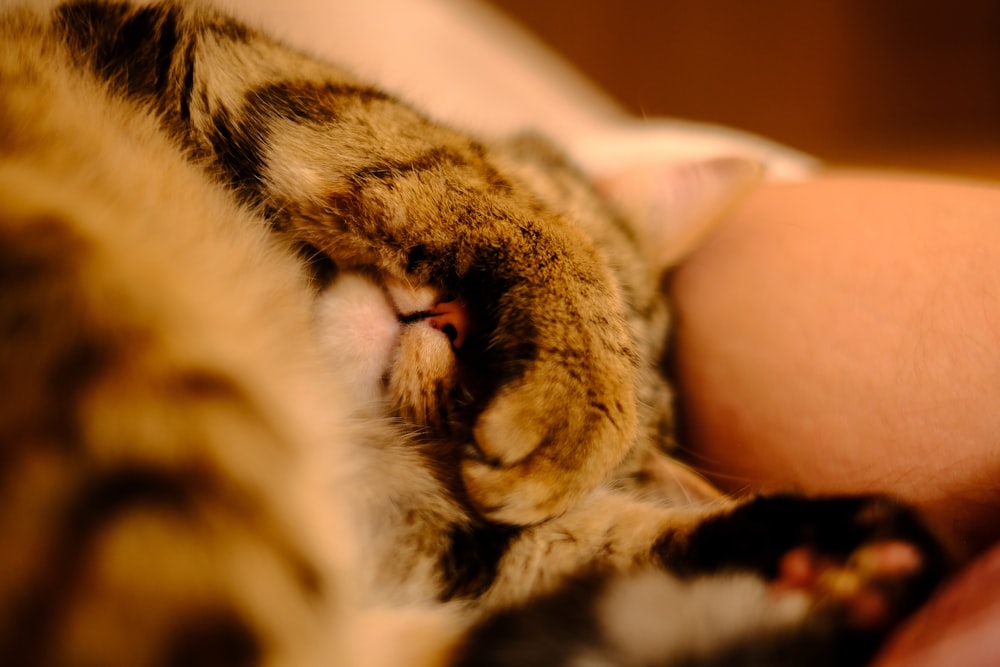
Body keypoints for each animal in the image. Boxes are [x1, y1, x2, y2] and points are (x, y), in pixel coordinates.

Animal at [0, 1, 948, 667]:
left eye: (459, 415)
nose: (451, 319)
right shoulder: (224, 43)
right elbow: (478, 185)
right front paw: (582, 392)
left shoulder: (414, 527)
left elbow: (567, 547)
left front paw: (830, 553)